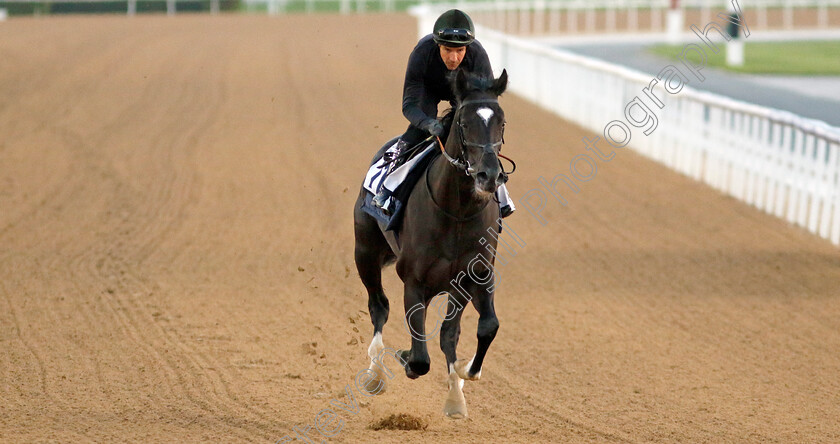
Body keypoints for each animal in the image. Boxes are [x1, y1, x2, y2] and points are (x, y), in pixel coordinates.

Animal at [352, 67, 508, 418]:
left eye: (502, 122)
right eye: (464, 122)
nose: (489, 175)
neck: (457, 212)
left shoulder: (474, 276)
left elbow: (482, 328)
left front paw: (464, 378)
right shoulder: (414, 281)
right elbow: (421, 357)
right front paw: (406, 358)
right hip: (365, 252)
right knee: (378, 306)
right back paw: (375, 374)